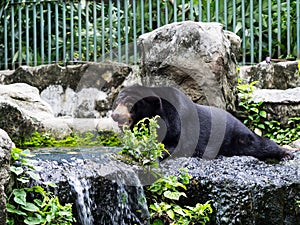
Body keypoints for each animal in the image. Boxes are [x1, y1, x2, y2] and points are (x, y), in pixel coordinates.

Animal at [111, 85, 294, 161]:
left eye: (129, 105)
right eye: (117, 102)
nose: (115, 116)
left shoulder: (177, 120)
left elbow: (176, 142)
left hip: (238, 137)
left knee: (259, 145)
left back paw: (286, 154)